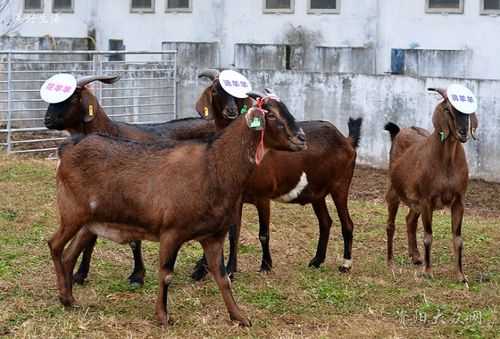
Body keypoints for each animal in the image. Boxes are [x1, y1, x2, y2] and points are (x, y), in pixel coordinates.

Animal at [48, 103, 304, 326]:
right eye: (271, 114)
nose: (301, 138)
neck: (213, 168)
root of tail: (67, 148)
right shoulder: (171, 232)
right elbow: (166, 274)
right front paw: (163, 317)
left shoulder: (213, 236)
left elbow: (223, 278)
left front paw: (239, 317)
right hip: (72, 212)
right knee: (55, 245)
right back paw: (64, 297)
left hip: (89, 222)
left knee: (69, 254)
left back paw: (70, 299)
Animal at [192, 88, 364, 282]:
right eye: (271, 114)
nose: (301, 138)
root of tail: (346, 141)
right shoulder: (237, 199)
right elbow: (234, 233)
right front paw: (229, 270)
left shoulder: (263, 196)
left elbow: (263, 233)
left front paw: (266, 265)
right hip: (317, 192)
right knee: (325, 222)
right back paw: (317, 260)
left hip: (340, 185)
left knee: (347, 223)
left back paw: (345, 265)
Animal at [384, 87, 478, 284]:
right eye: (448, 109)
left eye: (468, 112)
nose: (463, 132)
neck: (446, 164)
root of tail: (399, 131)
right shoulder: (427, 199)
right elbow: (428, 236)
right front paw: (428, 272)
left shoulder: (458, 201)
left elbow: (458, 239)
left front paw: (461, 275)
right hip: (394, 192)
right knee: (390, 225)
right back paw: (390, 262)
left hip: (415, 201)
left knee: (410, 220)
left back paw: (416, 257)